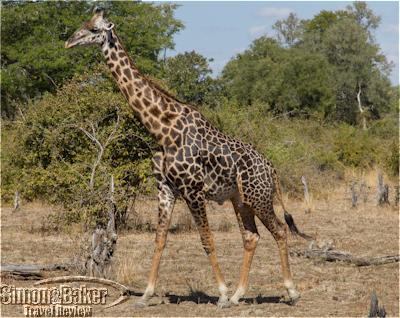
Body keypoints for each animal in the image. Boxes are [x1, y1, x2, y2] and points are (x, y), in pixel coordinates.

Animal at [65, 8, 304, 310]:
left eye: (95, 30)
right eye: (84, 24)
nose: (69, 42)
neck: (162, 129)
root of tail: (271, 168)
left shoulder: (193, 190)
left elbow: (206, 239)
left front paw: (221, 294)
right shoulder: (165, 188)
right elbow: (159, 239)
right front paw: (146, 295)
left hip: (258, 197)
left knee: (280, 231)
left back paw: (290, 292)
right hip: (241, 200)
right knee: (251, 237)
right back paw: (239, 294)